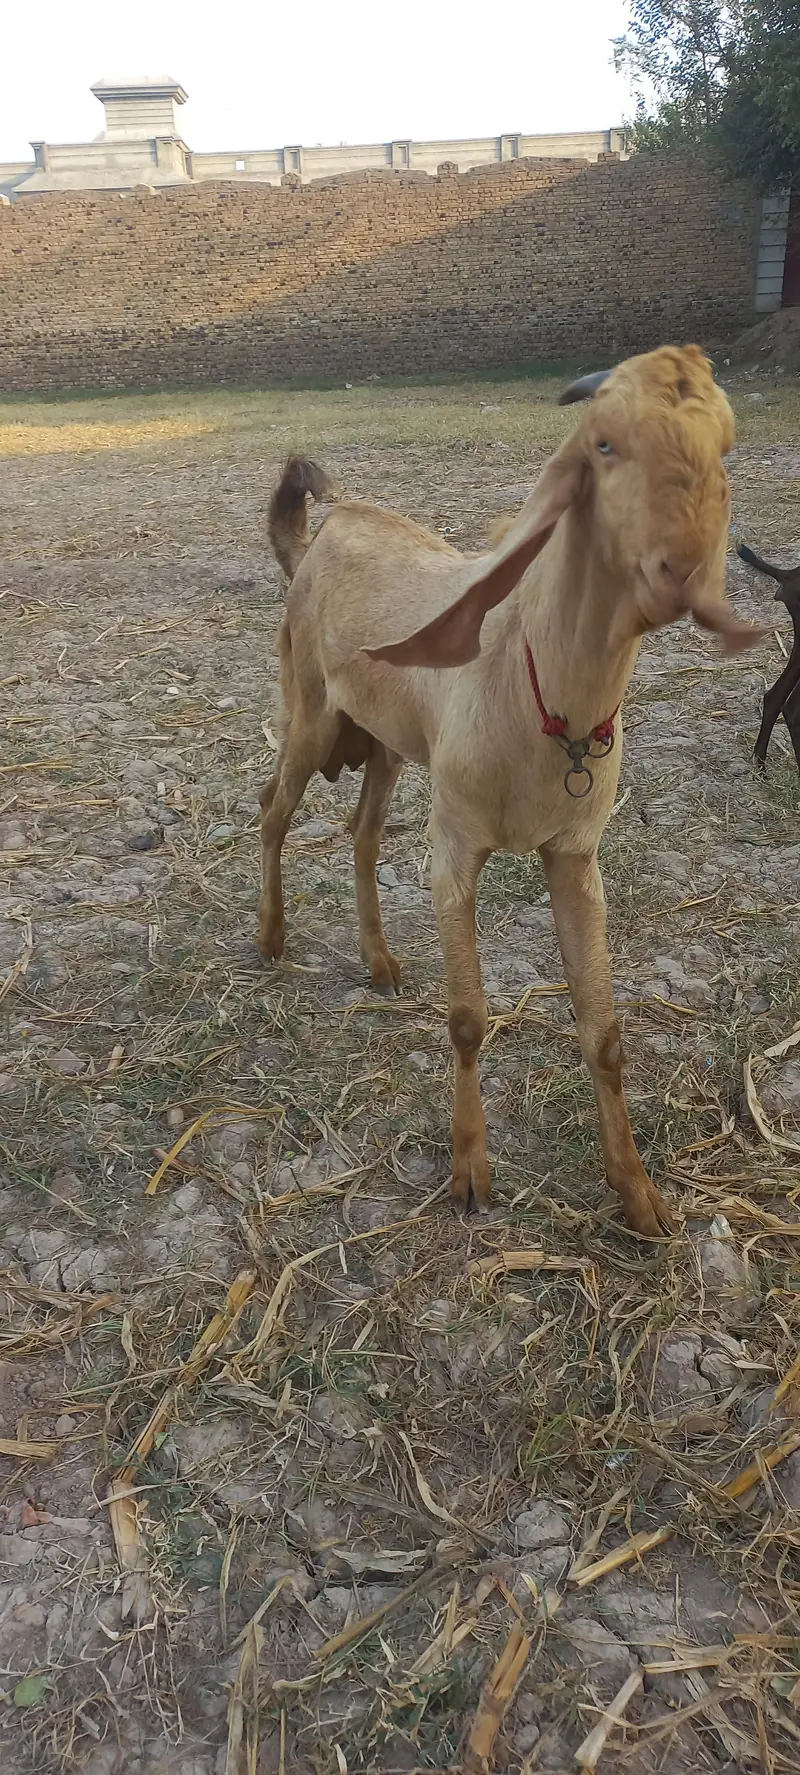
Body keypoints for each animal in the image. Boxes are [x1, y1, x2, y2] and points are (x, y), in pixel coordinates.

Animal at [259, 346, 764, 1239]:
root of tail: (328, 529)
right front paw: (469, 1172)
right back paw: (271, 936)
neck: (543, 693)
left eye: (726, 448)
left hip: (386, 747)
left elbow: (604, 1030)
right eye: (603, 444)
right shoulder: (456, 848)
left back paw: (379, 959)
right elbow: (467, 1018)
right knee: (270, 811)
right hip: (311, 715)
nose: (681, 572)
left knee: (361, 833)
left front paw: (639, 1194)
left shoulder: (576, 856)